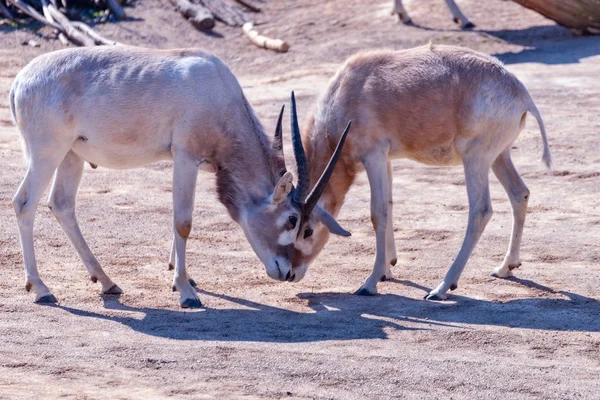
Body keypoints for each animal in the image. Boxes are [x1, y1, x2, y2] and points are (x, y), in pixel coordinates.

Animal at [8, 47, 352, 310]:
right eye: (294, 220)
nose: (288, 273)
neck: (218, 91)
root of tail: (20, 81)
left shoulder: (186, 162)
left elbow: (178, 217)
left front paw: (182, 278)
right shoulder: (186, 157)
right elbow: (183, 222)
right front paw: (187, 293)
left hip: (71, 155)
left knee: (61, 204)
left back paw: (106, 282)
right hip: (47, 152)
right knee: (24, 203)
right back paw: (41, 289)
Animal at [288, 43, 552, 300]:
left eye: (307, 230)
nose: (291, 273)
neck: (346, 91)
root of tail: (521, 94)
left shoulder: (373, 156)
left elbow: (378, 213)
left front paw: (370, 283)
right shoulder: (385, 159)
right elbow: (389, 205)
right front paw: (387, 270)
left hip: (475, 158)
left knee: (481, 211)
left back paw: (442, 288)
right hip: (499, 156)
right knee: (520, 194)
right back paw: (506, 267)